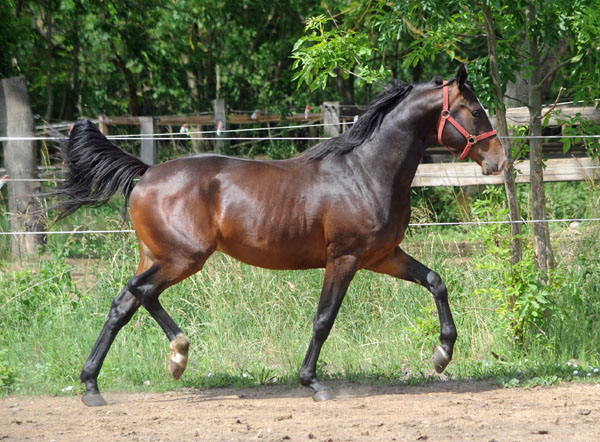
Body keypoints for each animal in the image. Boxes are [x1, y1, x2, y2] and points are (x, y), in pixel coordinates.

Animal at [55, 64, 506, 406]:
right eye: (474, 110)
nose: (499, 161)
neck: (365, 172)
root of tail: (146, 173)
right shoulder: (344, 258)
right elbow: (324, 319)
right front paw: (313, 383)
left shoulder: (383, 256)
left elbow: (436, 281)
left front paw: (442, 355)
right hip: (184, 257)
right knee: (143, 293)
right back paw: (178, 355)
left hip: (157, 256)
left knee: (121, 305)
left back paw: (92, 387)